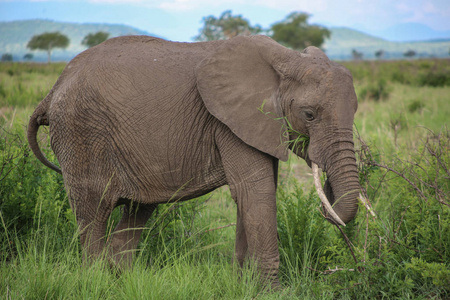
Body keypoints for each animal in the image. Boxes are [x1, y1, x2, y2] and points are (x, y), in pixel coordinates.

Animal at [27, 34, 358, 288]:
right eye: (309, 115)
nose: (327, 200)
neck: (286, 58)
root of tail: (53, 89)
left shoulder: (255, 124)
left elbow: (252, 193)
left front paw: (243, 286)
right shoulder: (228, 122)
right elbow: (256, 191)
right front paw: (271, 292)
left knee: (137, 210)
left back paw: (124, 281)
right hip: (82, 132)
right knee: (94, 211)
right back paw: (97, 281)